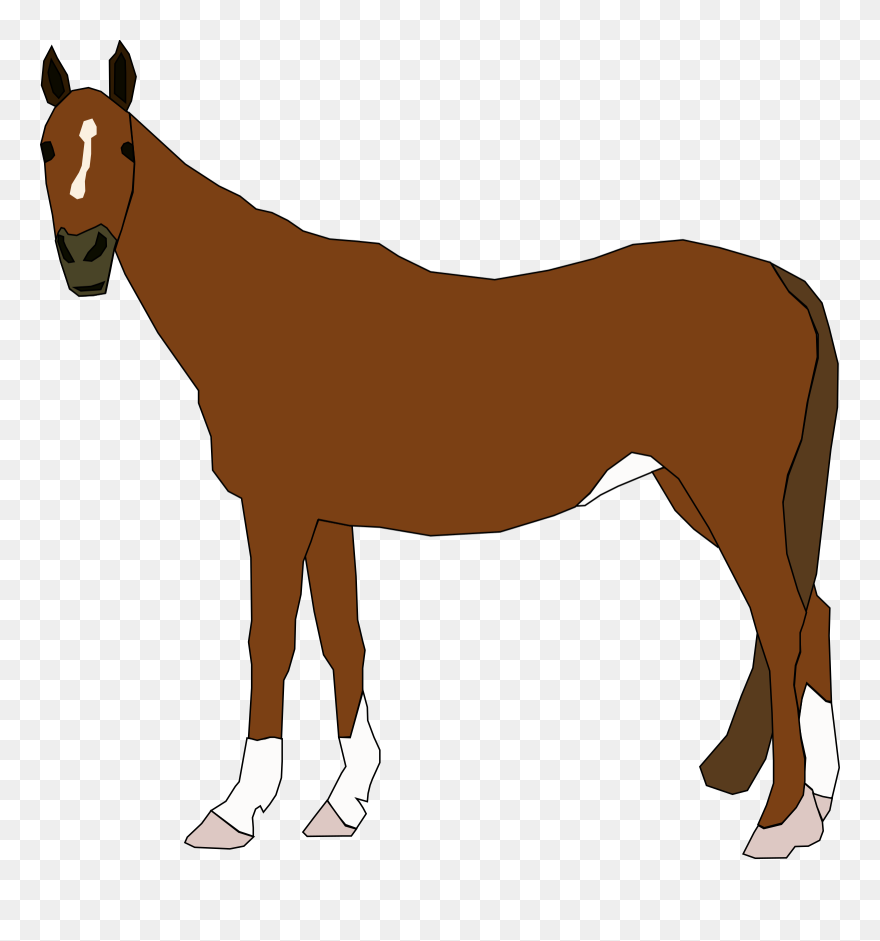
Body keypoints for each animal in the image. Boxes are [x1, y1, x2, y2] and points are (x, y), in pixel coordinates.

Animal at [39, 43, 839, 858]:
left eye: (125, 149)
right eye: (46, 147)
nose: (84, 257)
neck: (263, 309)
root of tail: (781, 281)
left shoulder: (277, 511)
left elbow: (272, 643)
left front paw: (236, 809)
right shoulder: (326, 516)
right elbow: (344, 642)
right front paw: (346, 801)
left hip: (730, 492)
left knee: (784, 623)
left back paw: (780, 820)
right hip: (700, 492)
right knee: (814, 618)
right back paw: (817, 801)